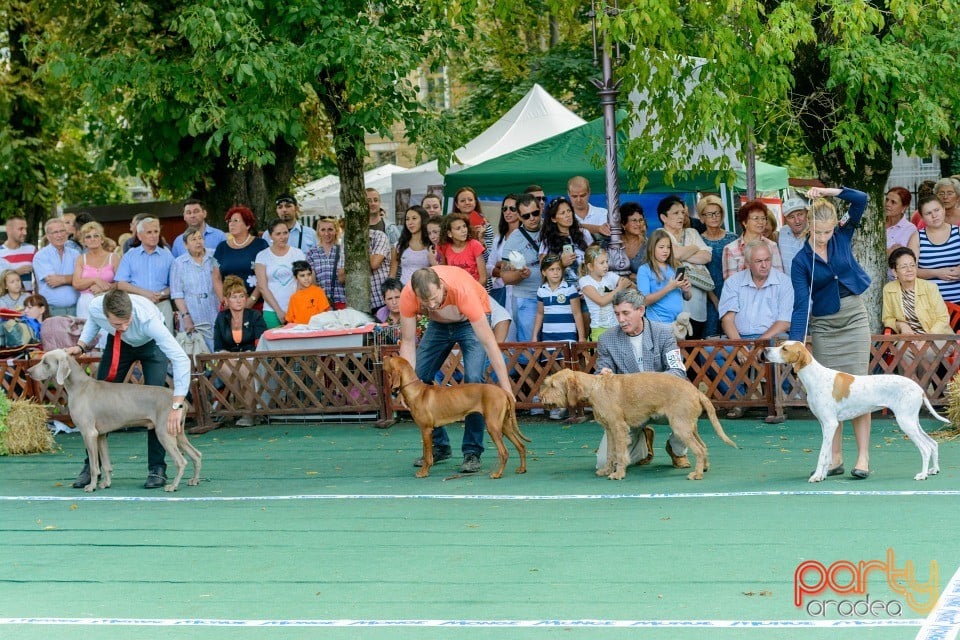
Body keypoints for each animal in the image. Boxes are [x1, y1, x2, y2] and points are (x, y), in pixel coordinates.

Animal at [29, 350, 201, 490]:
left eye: (45, 362)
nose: (28, 372)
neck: (79, 386)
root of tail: (182, 401)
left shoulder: (88, 433)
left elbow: (94, 466)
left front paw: (91, 486)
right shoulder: (100, 435)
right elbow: (106, 464)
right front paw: (106, 483)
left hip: (164, 433)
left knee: (181, 461)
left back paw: (173, 486)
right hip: (177, 432)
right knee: (196, 454)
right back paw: (194, 480)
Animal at [382, 356, 532, 480]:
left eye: (391, 357)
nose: (383, 356)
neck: (417, 391)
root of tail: (504, 391)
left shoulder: (426, 430)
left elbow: (428, 455)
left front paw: (424, 472)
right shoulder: (428, 430)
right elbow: (427, 453)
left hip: (493, 427)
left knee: (504, 452)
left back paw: (497, 474)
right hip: (505, 426)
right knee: (521, 446)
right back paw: (522, 469)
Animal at [544, 364, 740, 480]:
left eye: (553, 385)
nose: (541, 396)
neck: (594, 388)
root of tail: (697, 392)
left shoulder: (619, 428)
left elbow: (620, 454)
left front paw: (618, 474)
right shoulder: (610, 430)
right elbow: (610, 454)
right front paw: (606, 470)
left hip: (680, 427)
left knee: (698, 449)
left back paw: (697, 474)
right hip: (690, 427)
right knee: (704, 446)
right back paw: (704, 468)